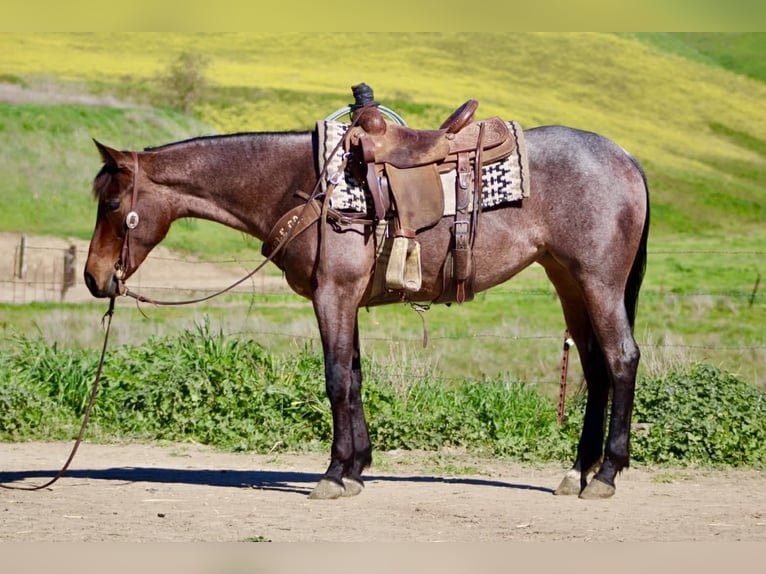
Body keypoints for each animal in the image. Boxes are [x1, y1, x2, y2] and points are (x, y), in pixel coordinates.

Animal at [83, 113, 650, 500]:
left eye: (111, 204)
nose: (93, 277)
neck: (304, 188)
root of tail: (626, 157)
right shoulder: (346, 299)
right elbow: (354, 377)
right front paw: (357, 468)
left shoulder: (332, 294)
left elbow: (336, 379)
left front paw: (334, 474)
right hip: (568, 281)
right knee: (595, 367)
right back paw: (577, 472)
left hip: (598, 282)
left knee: (621, 359)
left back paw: (605, 474)